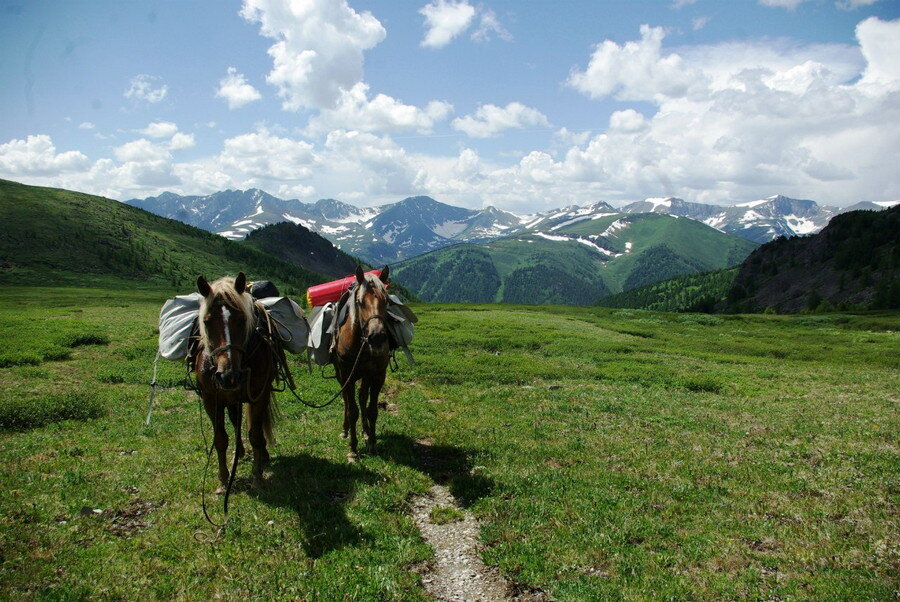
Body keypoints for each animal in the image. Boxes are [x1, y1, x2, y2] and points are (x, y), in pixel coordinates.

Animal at [192, 274, 272, 490]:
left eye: (242, 319)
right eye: (207, 322)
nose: (229, 376)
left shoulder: (259, 395)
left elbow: (255, 434)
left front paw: (257, 476)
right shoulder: (211, 400)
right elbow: (220, 438)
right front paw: (223, 479)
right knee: (235, 422)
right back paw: (240, 452)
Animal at [330, 264, 386, 462]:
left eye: (387, 301)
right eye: (360, 302)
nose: (377, 337)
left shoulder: (377, 376)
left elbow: (372, 410)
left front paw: (372, 444)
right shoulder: (347, 375)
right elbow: (352, 410)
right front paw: (353, 449)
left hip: (364, 376)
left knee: (362, 398)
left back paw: (366, 431)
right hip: (341, 375)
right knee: (347, 400)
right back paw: (346, 429)